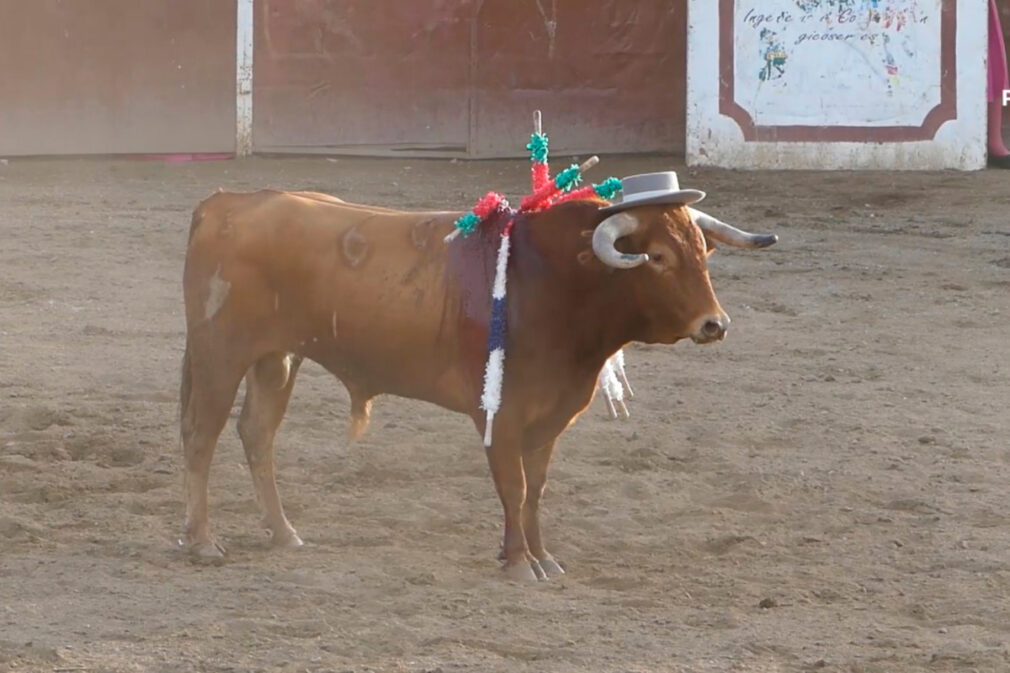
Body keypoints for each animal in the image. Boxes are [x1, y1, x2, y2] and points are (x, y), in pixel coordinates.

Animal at [177, 183, 775, 578]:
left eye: (701, 253)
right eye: (658, 256)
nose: (715, 324)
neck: (554, 280)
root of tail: (224, 203)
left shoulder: (550, 416)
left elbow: (535, 488)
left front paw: (542, 556)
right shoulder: (500, 415)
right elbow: (513, 486)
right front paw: (519, 562)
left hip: (276, 359)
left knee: (256, 435)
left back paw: (284, 534)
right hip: (220, 355)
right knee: (202, 437)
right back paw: (203, 542)